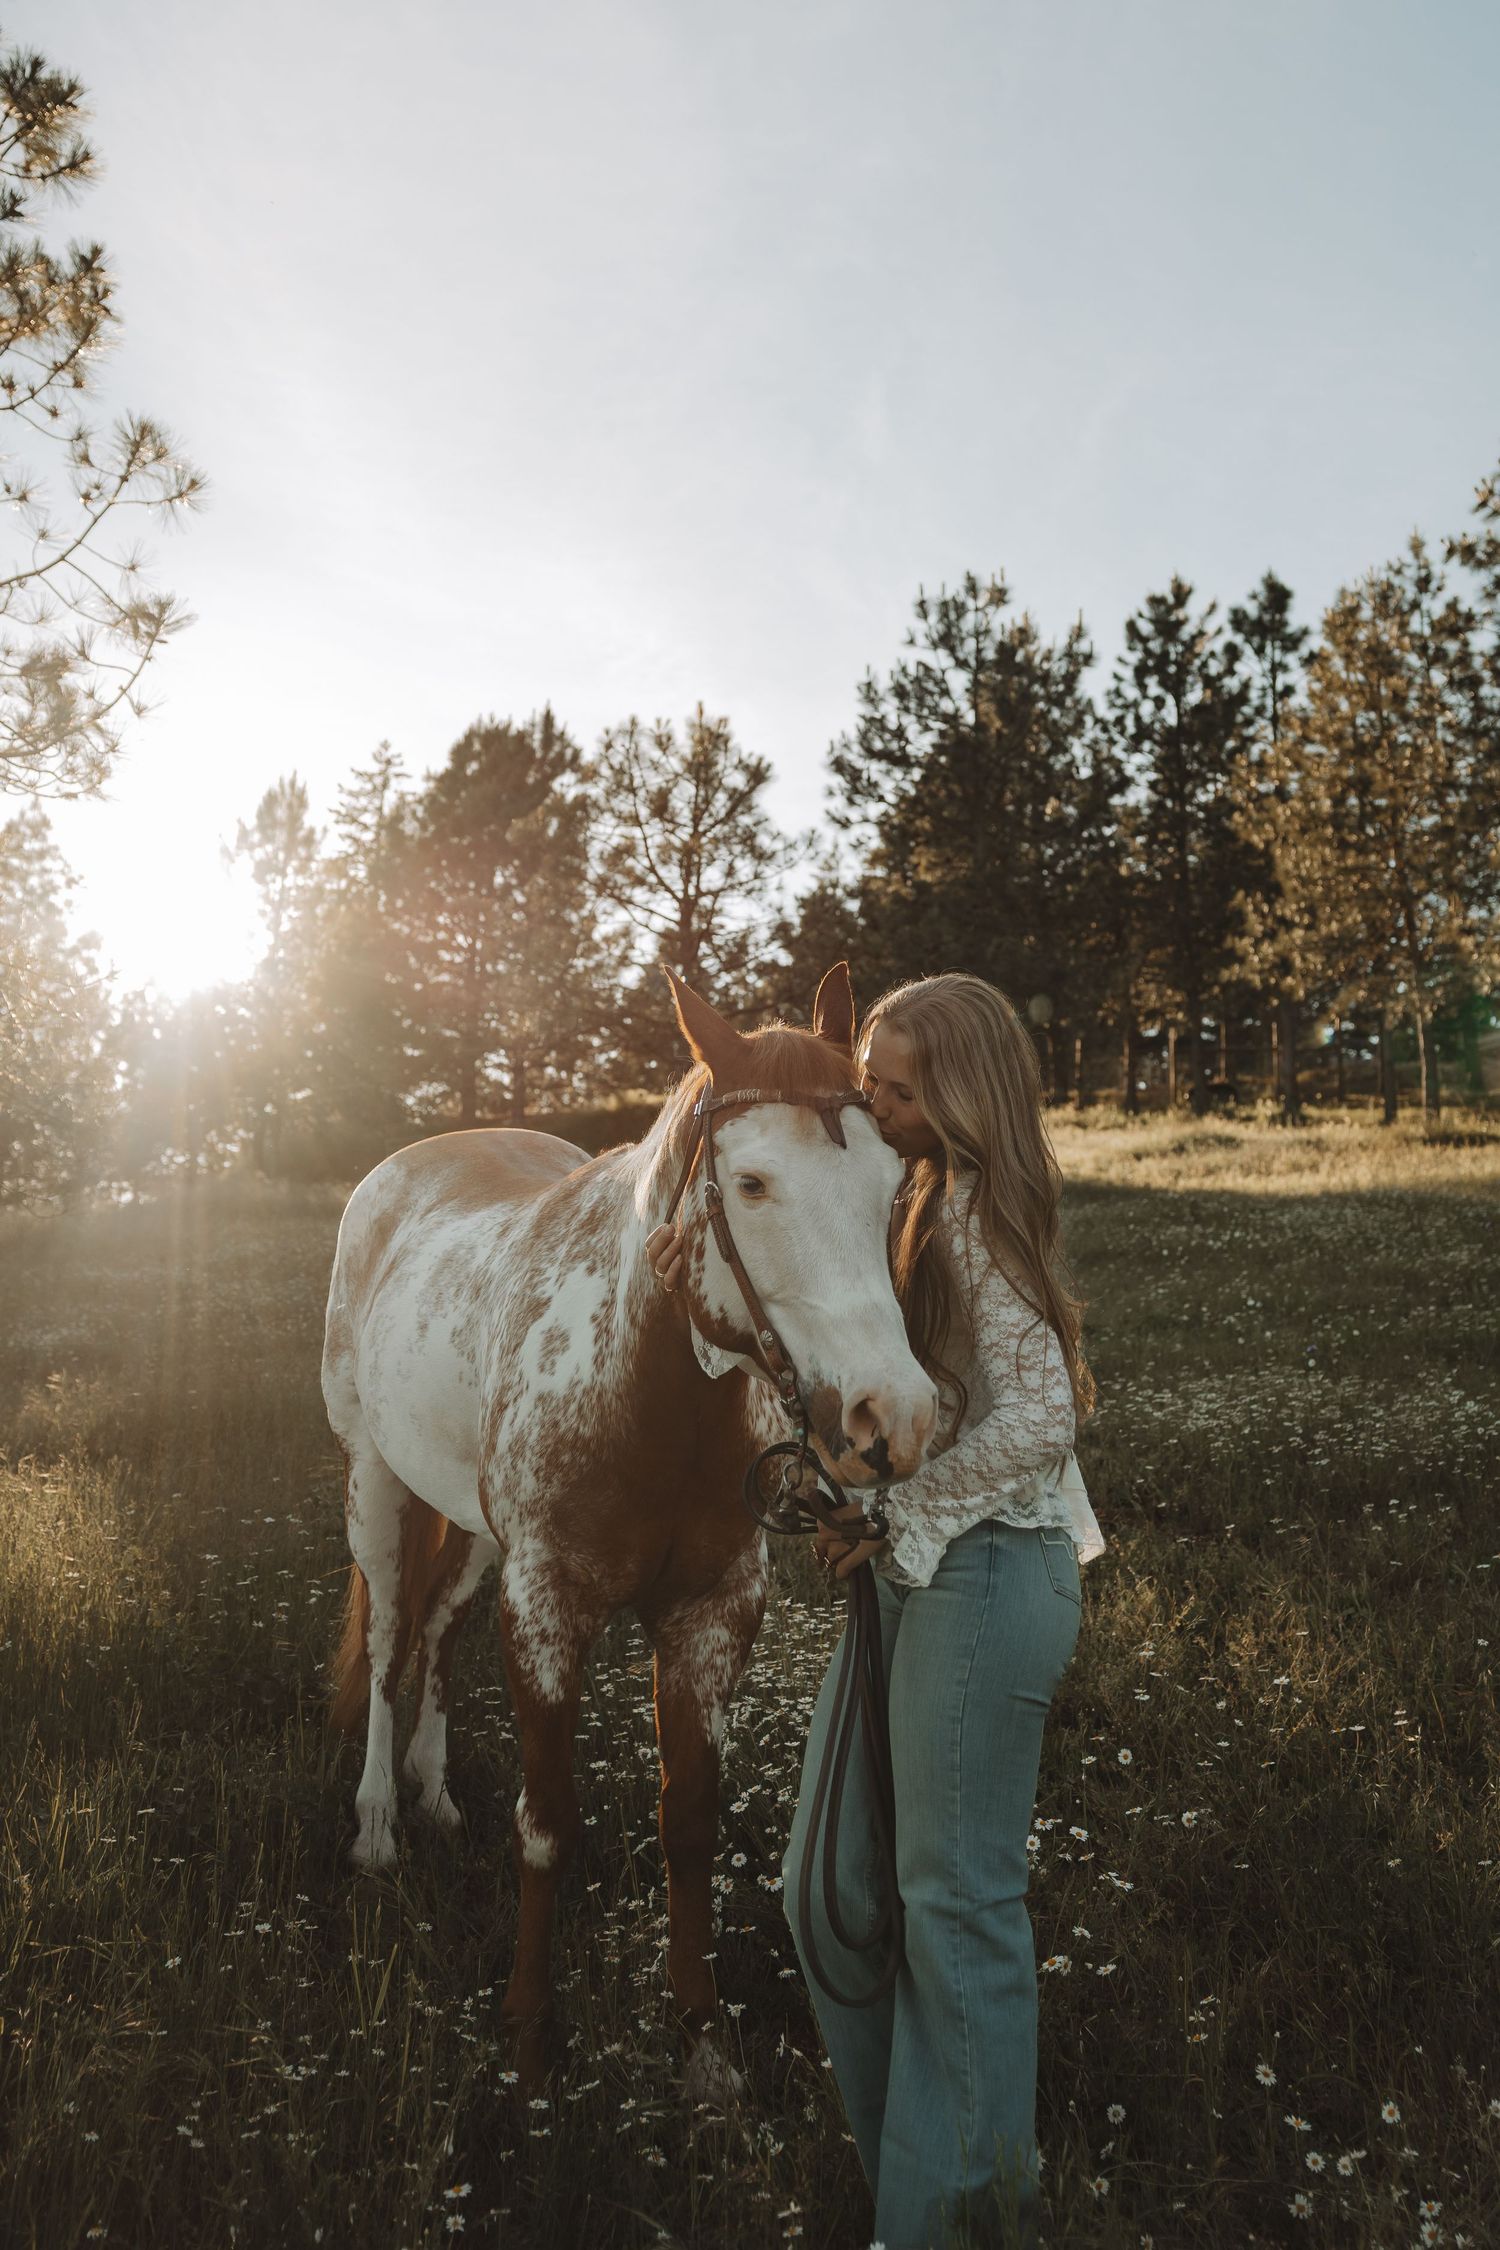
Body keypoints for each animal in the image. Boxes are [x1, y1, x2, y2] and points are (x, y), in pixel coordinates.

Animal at [321, 963, 938, 2083]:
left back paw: (434, 1795)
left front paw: (700, 2043)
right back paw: (381, 1826)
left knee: (437, 1631)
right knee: (390, 1639)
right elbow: (546, 1822)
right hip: (376, 1486)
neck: (647, 1395)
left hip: (473, 1530)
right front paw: (527, 2032)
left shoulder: (710, 1618)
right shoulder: (546, 1609)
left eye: (890, 1184)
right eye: (752, 1184)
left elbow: (688, 1823)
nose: (894, 1418)